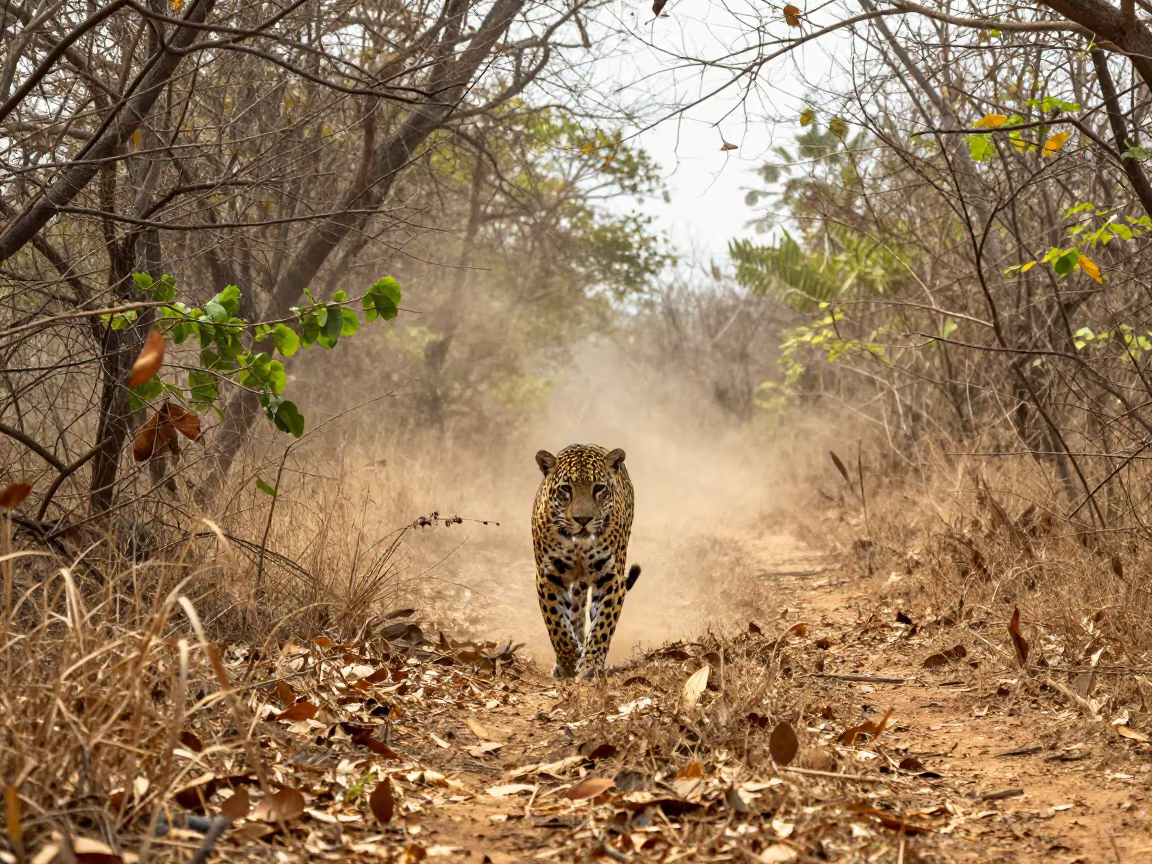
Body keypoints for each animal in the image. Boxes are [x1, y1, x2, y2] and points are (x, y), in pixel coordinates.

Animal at [532, 443, 640, 679]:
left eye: (598, 488)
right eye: (566, 489)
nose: (583, 519)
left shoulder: (611, 577)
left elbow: (602, 625)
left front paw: (590, 664)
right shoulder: (548, 575)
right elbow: (556, 624)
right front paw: (569, 659)